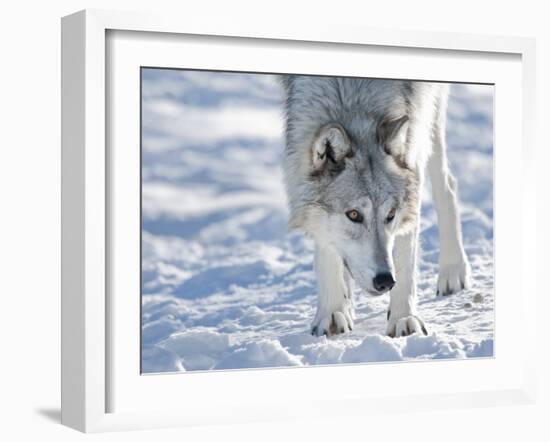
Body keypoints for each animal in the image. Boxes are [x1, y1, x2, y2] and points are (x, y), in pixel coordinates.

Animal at [282, 77, 472, 338]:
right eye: (353, 215)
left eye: (391, 215)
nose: (385, 281)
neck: (353, 98)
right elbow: (326, 244)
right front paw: (332, 312)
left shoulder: (415, 131)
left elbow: (406, 253)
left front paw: (404, 318)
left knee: (447, 185)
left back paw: (453, 271)